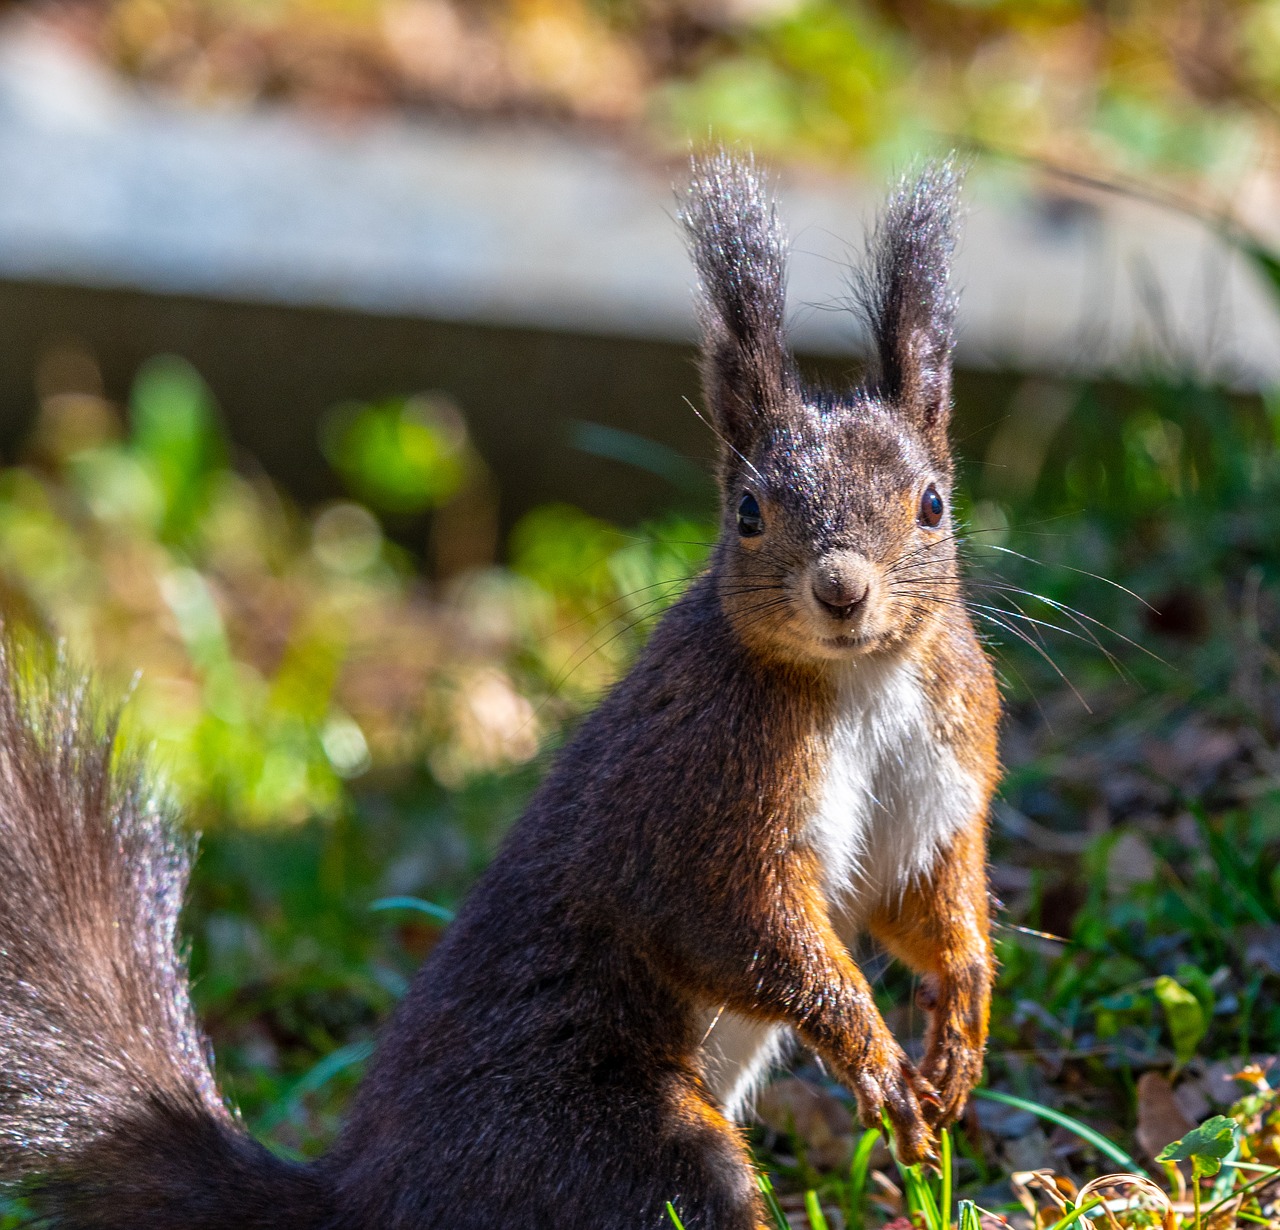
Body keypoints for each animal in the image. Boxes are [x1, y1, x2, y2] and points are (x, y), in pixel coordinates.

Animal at [0, 156, 998, 1228]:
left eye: (932, 504)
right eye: (748, 513)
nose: (843, 590)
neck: (859, 677)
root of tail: (363, 1200)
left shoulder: (942, 763)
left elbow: (922, 898)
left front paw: (960, 1024)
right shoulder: (698, 786)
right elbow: (737, 922)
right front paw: (874, 1054)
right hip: (620, 1150)